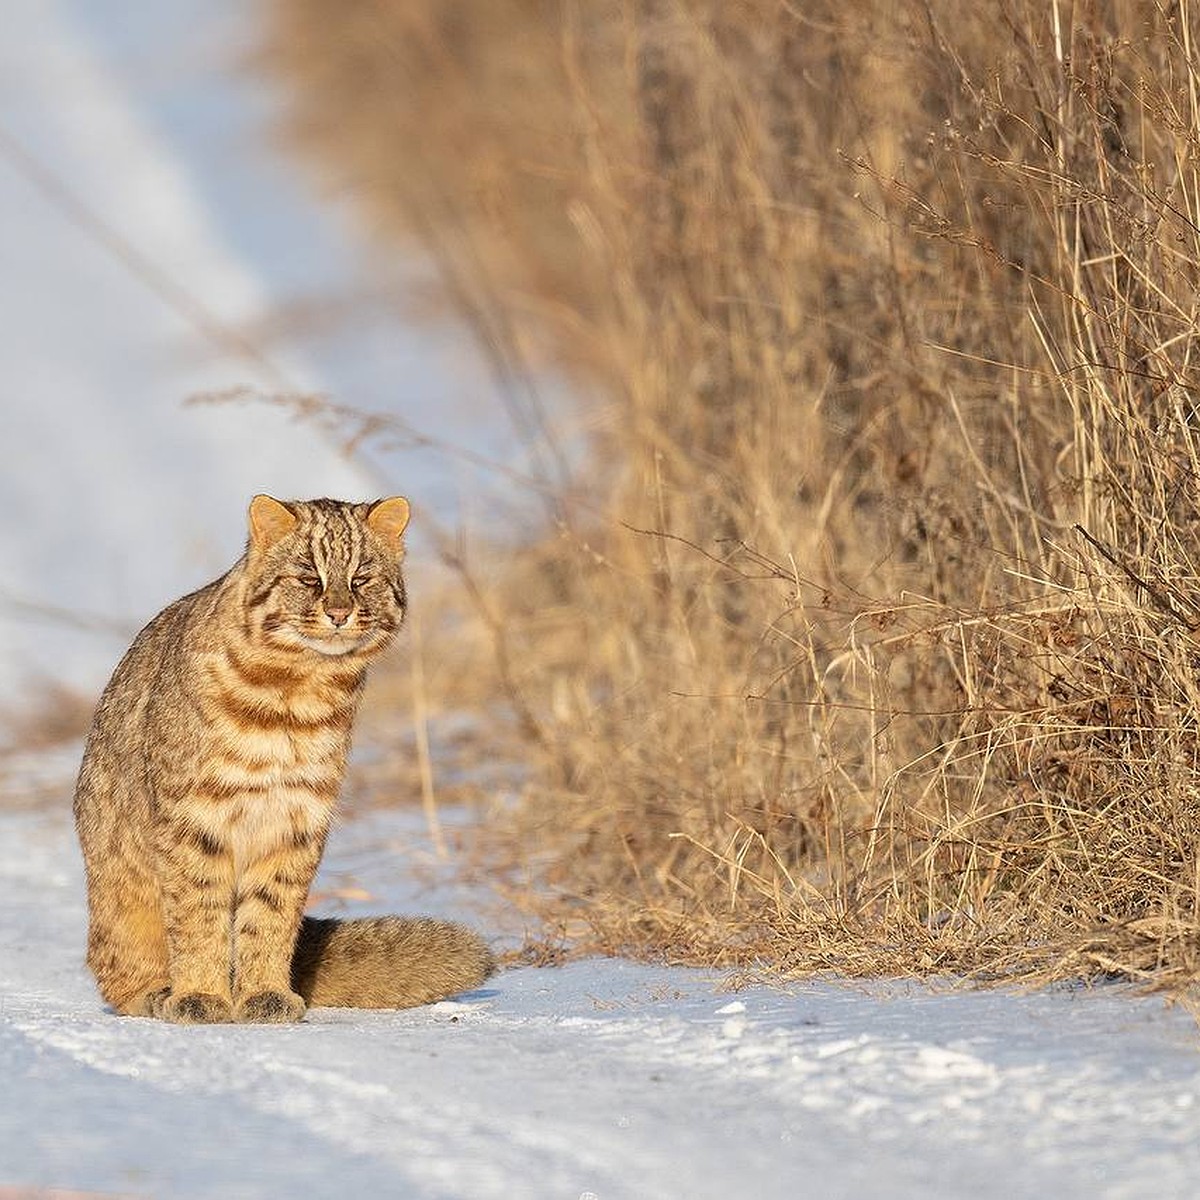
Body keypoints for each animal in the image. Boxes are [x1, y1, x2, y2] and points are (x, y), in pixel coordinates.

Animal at [72, 494, 494, 1022]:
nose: (339, 612)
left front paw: (264, 993)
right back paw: (154, 992)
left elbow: (271, 914)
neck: (294, 698)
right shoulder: (192, 817)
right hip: (118, 888)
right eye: (309, 577)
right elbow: (197, 912)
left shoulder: (297, 815)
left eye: (361, 578)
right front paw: (200, 996)